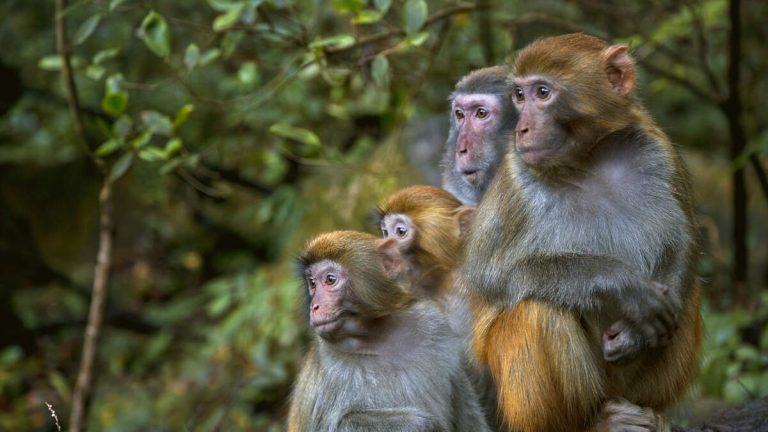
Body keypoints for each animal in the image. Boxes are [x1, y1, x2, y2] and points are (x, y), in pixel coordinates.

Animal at [287, 231, 491, 432]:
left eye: (330, 279)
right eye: (312, 283)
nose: (314, 306)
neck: (377, 335)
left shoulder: (434, 325)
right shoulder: (329, 364)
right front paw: (419, 424)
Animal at [460, 33, 703, 431]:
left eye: (542, 93)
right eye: (519, 96)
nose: (521, 128)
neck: (588, 159)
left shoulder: (658, 148)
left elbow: (684, 243)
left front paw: (635, 334)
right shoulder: (514, 177)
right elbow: (489, 275)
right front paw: (621, 284)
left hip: (631, 385)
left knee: (687, 295)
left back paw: (651, 413)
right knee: (537, 306)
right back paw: (591, 422)